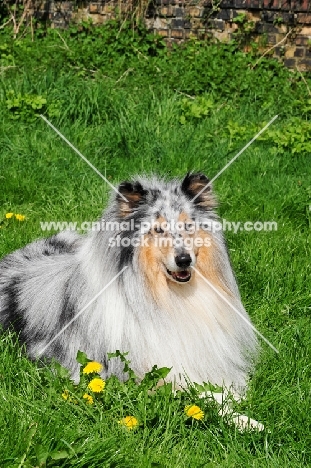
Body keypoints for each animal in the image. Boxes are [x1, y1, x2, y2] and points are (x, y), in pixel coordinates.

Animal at [0, 174, 258, 408]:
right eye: (158, 230)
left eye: (188, 226)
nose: (184, 260)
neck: (168, 296)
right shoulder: (137, 377)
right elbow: (199, 394)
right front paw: (242, 417)